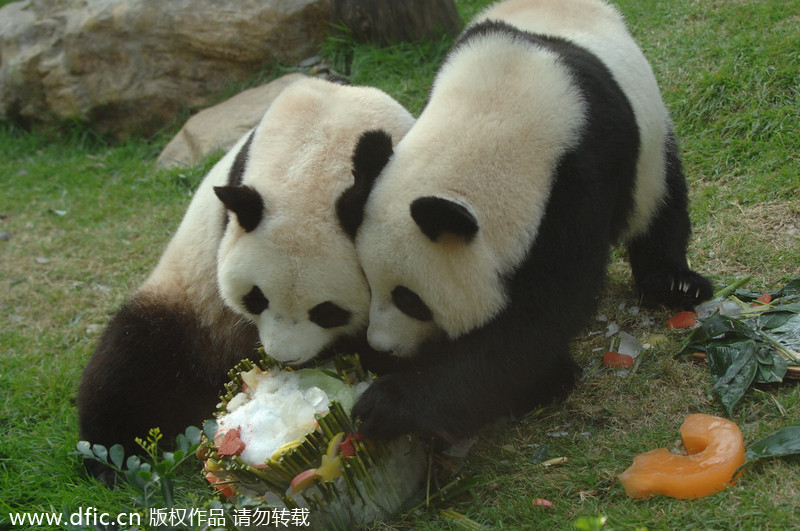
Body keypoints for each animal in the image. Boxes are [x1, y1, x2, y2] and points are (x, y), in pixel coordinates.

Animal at [77, 77, 415, 483]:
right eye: (256, 298)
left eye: (327, 312)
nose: (286, 358)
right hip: (191, 305)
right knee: (132, 361)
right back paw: (113, 460)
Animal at [341, 0, 714, 442]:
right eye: (367, 282)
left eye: (410, 300)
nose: (382, 345)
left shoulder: (577, 183)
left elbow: (538, 318)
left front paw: (390, 405)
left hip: (649, 143)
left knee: (662, 199)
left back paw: (675, 283)